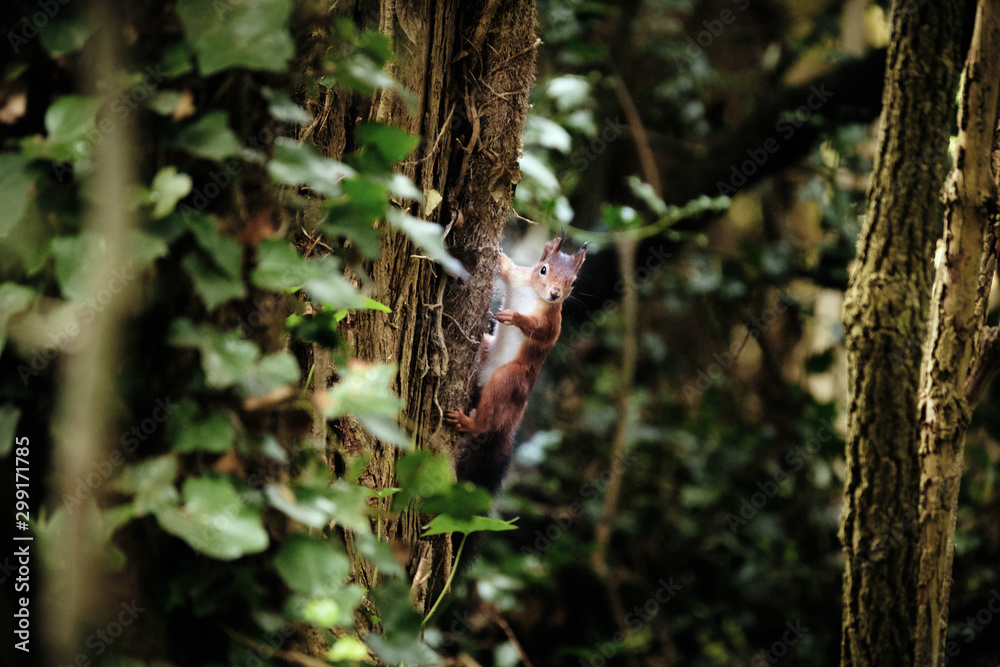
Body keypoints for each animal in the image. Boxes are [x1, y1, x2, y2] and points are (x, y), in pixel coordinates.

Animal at [446, 231, 587, 493]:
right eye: (543, 269)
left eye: (573, 283)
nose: (555, 294)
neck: (534, 292)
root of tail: (511, 421)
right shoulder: (517, 276)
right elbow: (506, 267)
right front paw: (497, 252)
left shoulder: (552, 322)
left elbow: (540, 331)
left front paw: (514, 317)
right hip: (486, 351)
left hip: (509, 380)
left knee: (484, 422)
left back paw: (467, 422)